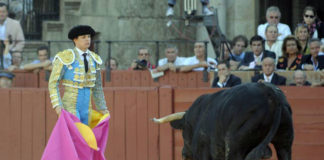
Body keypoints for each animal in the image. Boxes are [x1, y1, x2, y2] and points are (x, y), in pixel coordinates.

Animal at [154, 83, 294, 159]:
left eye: (183, 133)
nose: (184, 154)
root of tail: (268, 91)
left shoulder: (203, 153)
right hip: (285, 142)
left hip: (234, 146)